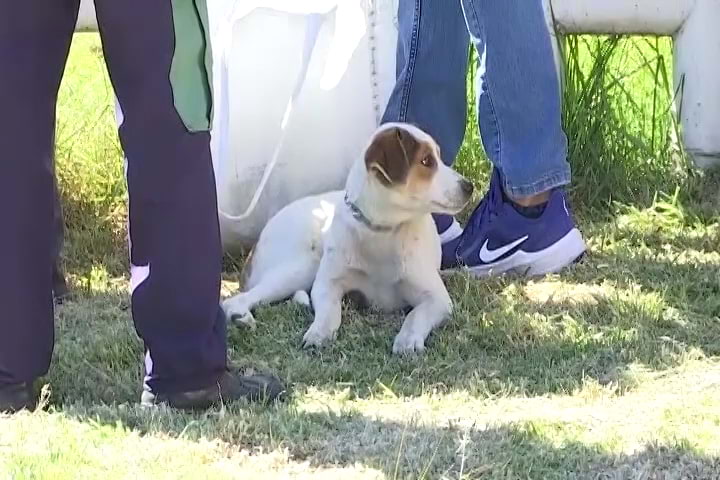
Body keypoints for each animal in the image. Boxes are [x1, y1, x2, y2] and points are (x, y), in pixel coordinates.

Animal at [222, 124, 476, 354]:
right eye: (426, 161)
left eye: (438, 157)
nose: (469, 186)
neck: (382, 231)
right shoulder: (326, 285)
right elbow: (329, 312)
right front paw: (319, 332)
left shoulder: (437, 299)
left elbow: (416, 315)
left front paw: (408, 340)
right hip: (304, 265)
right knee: (235, 300)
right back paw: (241, 317)